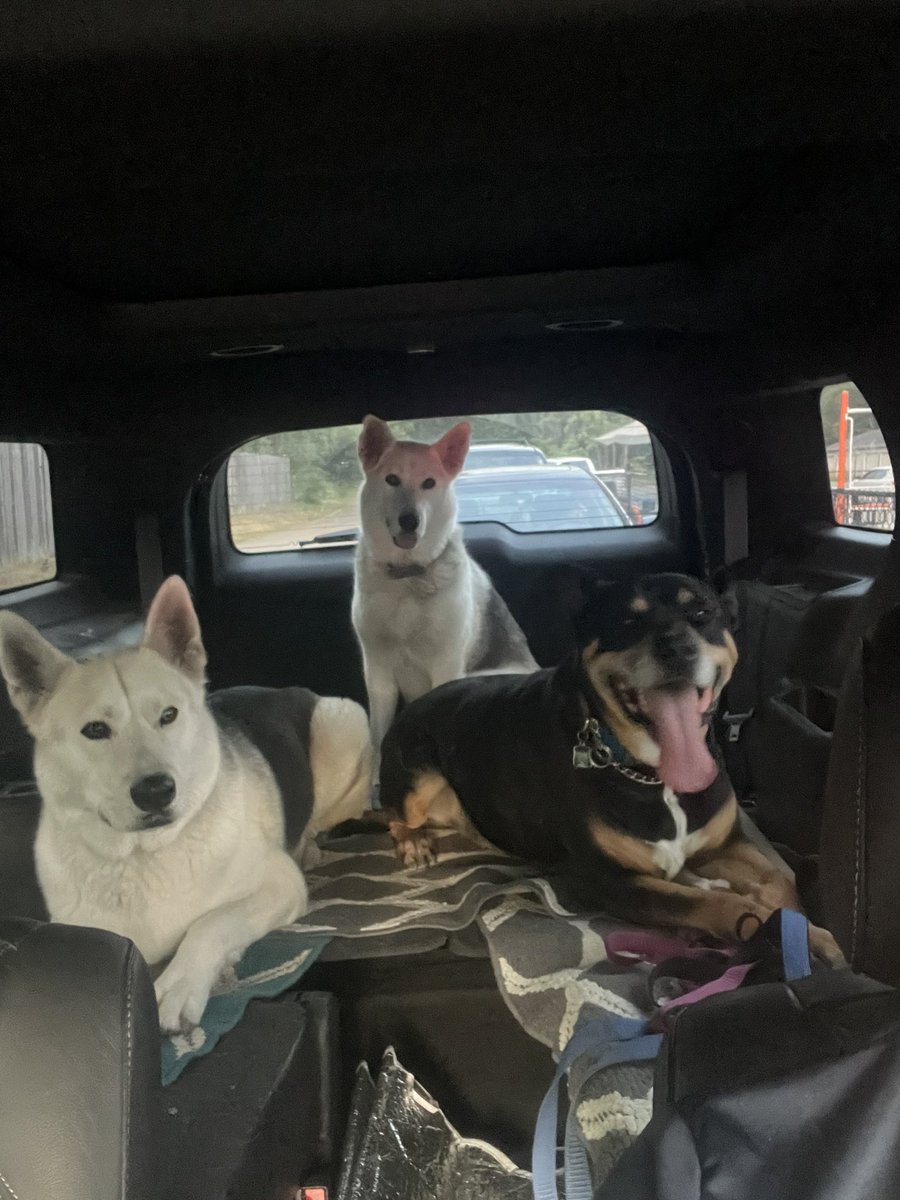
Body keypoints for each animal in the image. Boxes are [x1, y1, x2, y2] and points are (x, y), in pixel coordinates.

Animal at [0, 576, 372, 1027]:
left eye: (168, 715)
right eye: (95, 730)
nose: (156, 791)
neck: (143, 855)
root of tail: (283, 688)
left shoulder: (279, 885)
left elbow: (212, 922)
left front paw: (179, 985)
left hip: (343, 723)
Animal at [379, 573, 844, 964]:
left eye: (701, 614)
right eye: (626, 621)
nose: (677, 648)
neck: (651, 773)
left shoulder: (725, 844)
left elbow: (780, 882)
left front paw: (809, 936)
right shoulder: (608, 881)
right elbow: (716, 903)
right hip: (419, 773)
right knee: (395, 817)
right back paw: (414, 843)